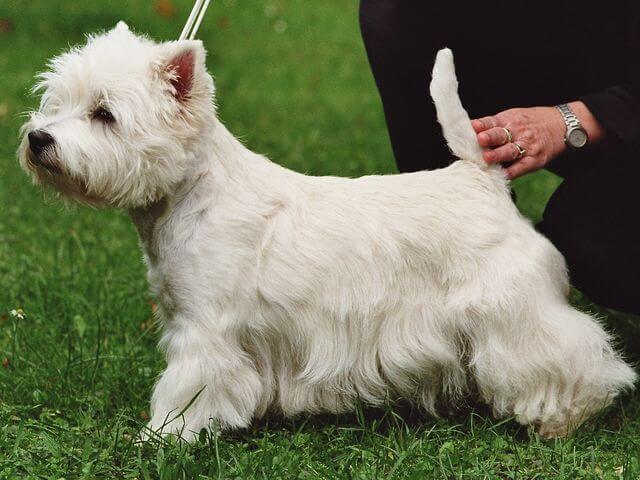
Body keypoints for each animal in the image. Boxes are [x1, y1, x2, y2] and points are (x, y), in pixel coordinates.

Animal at [18, 23, 636, 438]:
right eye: (56, 101)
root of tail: (481, 176)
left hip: (511, 309)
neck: (189, 197)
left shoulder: (206, 330)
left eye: (105, 114)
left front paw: (161, 437)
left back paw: (563, 417)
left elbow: (187, 387)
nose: (38, 139)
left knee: (568, 353)